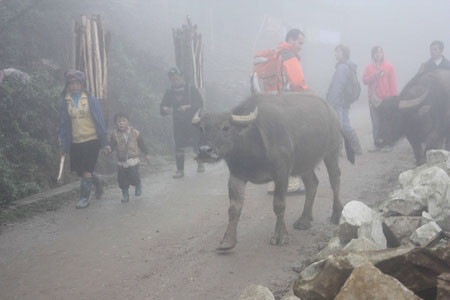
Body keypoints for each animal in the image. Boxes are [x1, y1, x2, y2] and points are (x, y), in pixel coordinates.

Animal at [192, 92, 354, 251]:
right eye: (201, 128)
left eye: (225, 127)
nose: (204, 151)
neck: (251, 146)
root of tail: (333, 114)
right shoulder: (236, 175)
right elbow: (234, 208)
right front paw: (227, 240)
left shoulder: (282, 173)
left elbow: (279, 204)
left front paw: (280, 236)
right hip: (304, 163)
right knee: (312, 184)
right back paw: (304, 220)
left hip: (331, 153)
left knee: (335, 179)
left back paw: (336, 214)